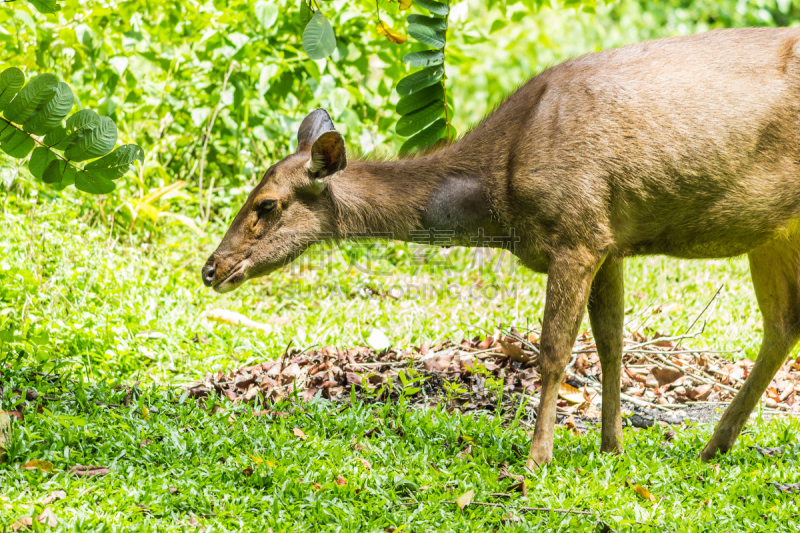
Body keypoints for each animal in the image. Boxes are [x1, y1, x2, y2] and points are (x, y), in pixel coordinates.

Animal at [202, 28, 800, 466]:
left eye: (266, 205)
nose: (212, 268)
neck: (500, 195)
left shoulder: (577, 233)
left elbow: (554, 351)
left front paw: (538, 458)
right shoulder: (609, 240)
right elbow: (612, 344)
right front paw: (612, 446)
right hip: (773, 232)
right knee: (782, 326)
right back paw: (714, 445)